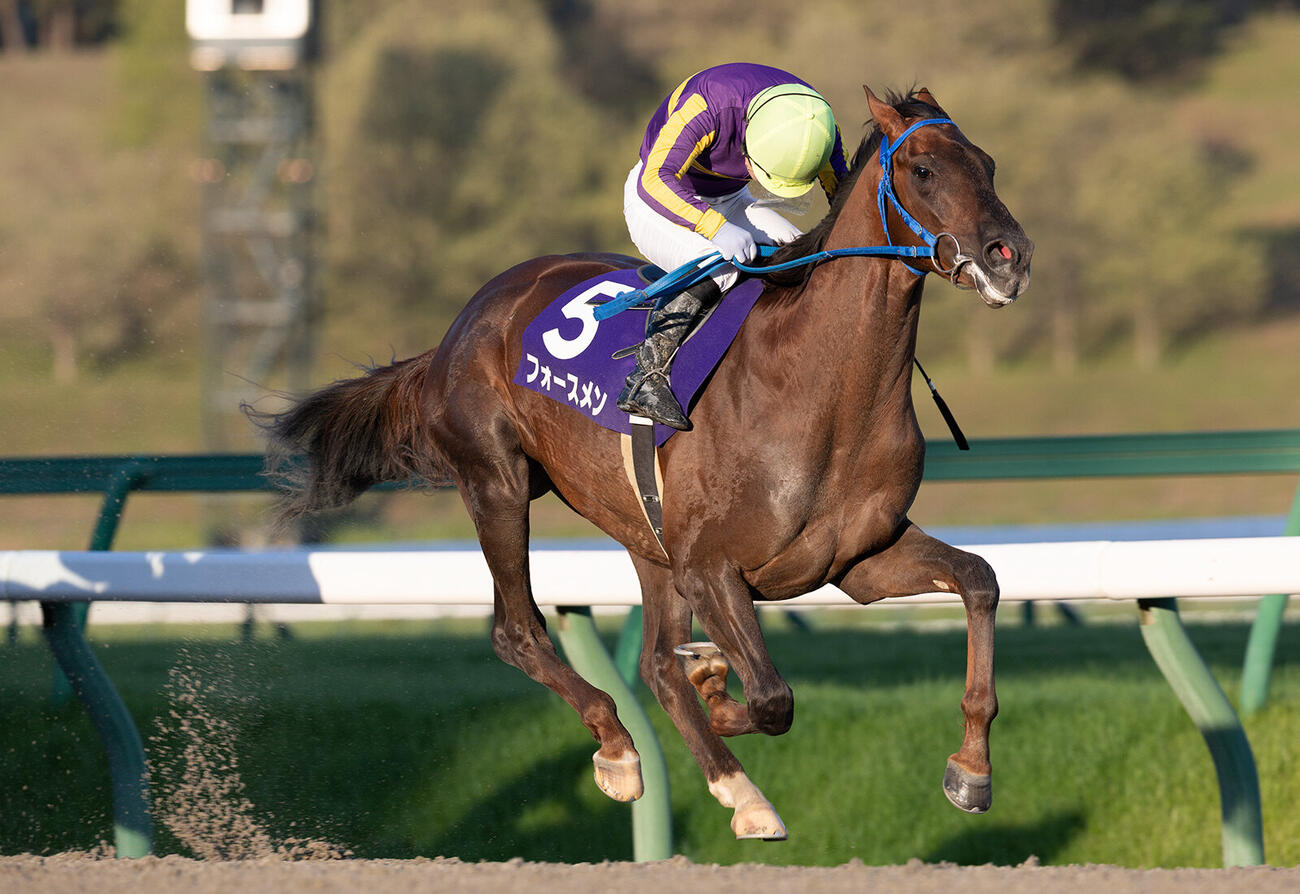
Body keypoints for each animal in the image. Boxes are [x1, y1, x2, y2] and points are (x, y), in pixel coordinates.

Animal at [254, 86, 1033, 840]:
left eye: (990, 165)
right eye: (923, 170)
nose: (1010, 256)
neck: (822, 390)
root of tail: (460, 326)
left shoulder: (855, 562)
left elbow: (980, 580)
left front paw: (971, 769)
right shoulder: (709, 565)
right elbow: (772, 698)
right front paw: (718, 686)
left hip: (642, 530)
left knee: (655, 662)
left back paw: (738, 788)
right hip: (498, 482)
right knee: (520, 632)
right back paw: (621, 749)